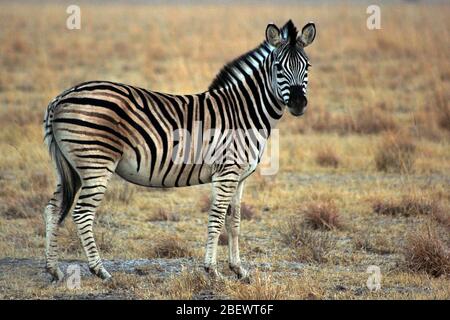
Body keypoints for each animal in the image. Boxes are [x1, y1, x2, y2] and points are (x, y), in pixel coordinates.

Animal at [42, 19, 316, 282]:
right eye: (278, 67)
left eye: (308, 66)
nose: (298, 104)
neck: (244, 112)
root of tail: (59, 98)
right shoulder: (226, 172)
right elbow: (217, 219)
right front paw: (212, 271)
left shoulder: (240, 178)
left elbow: (235, 222)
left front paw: (239, 270)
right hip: (95, 162)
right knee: (82, 213)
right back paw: (101, 271)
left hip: (68, 166)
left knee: (53, 208)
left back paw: (54, 270)